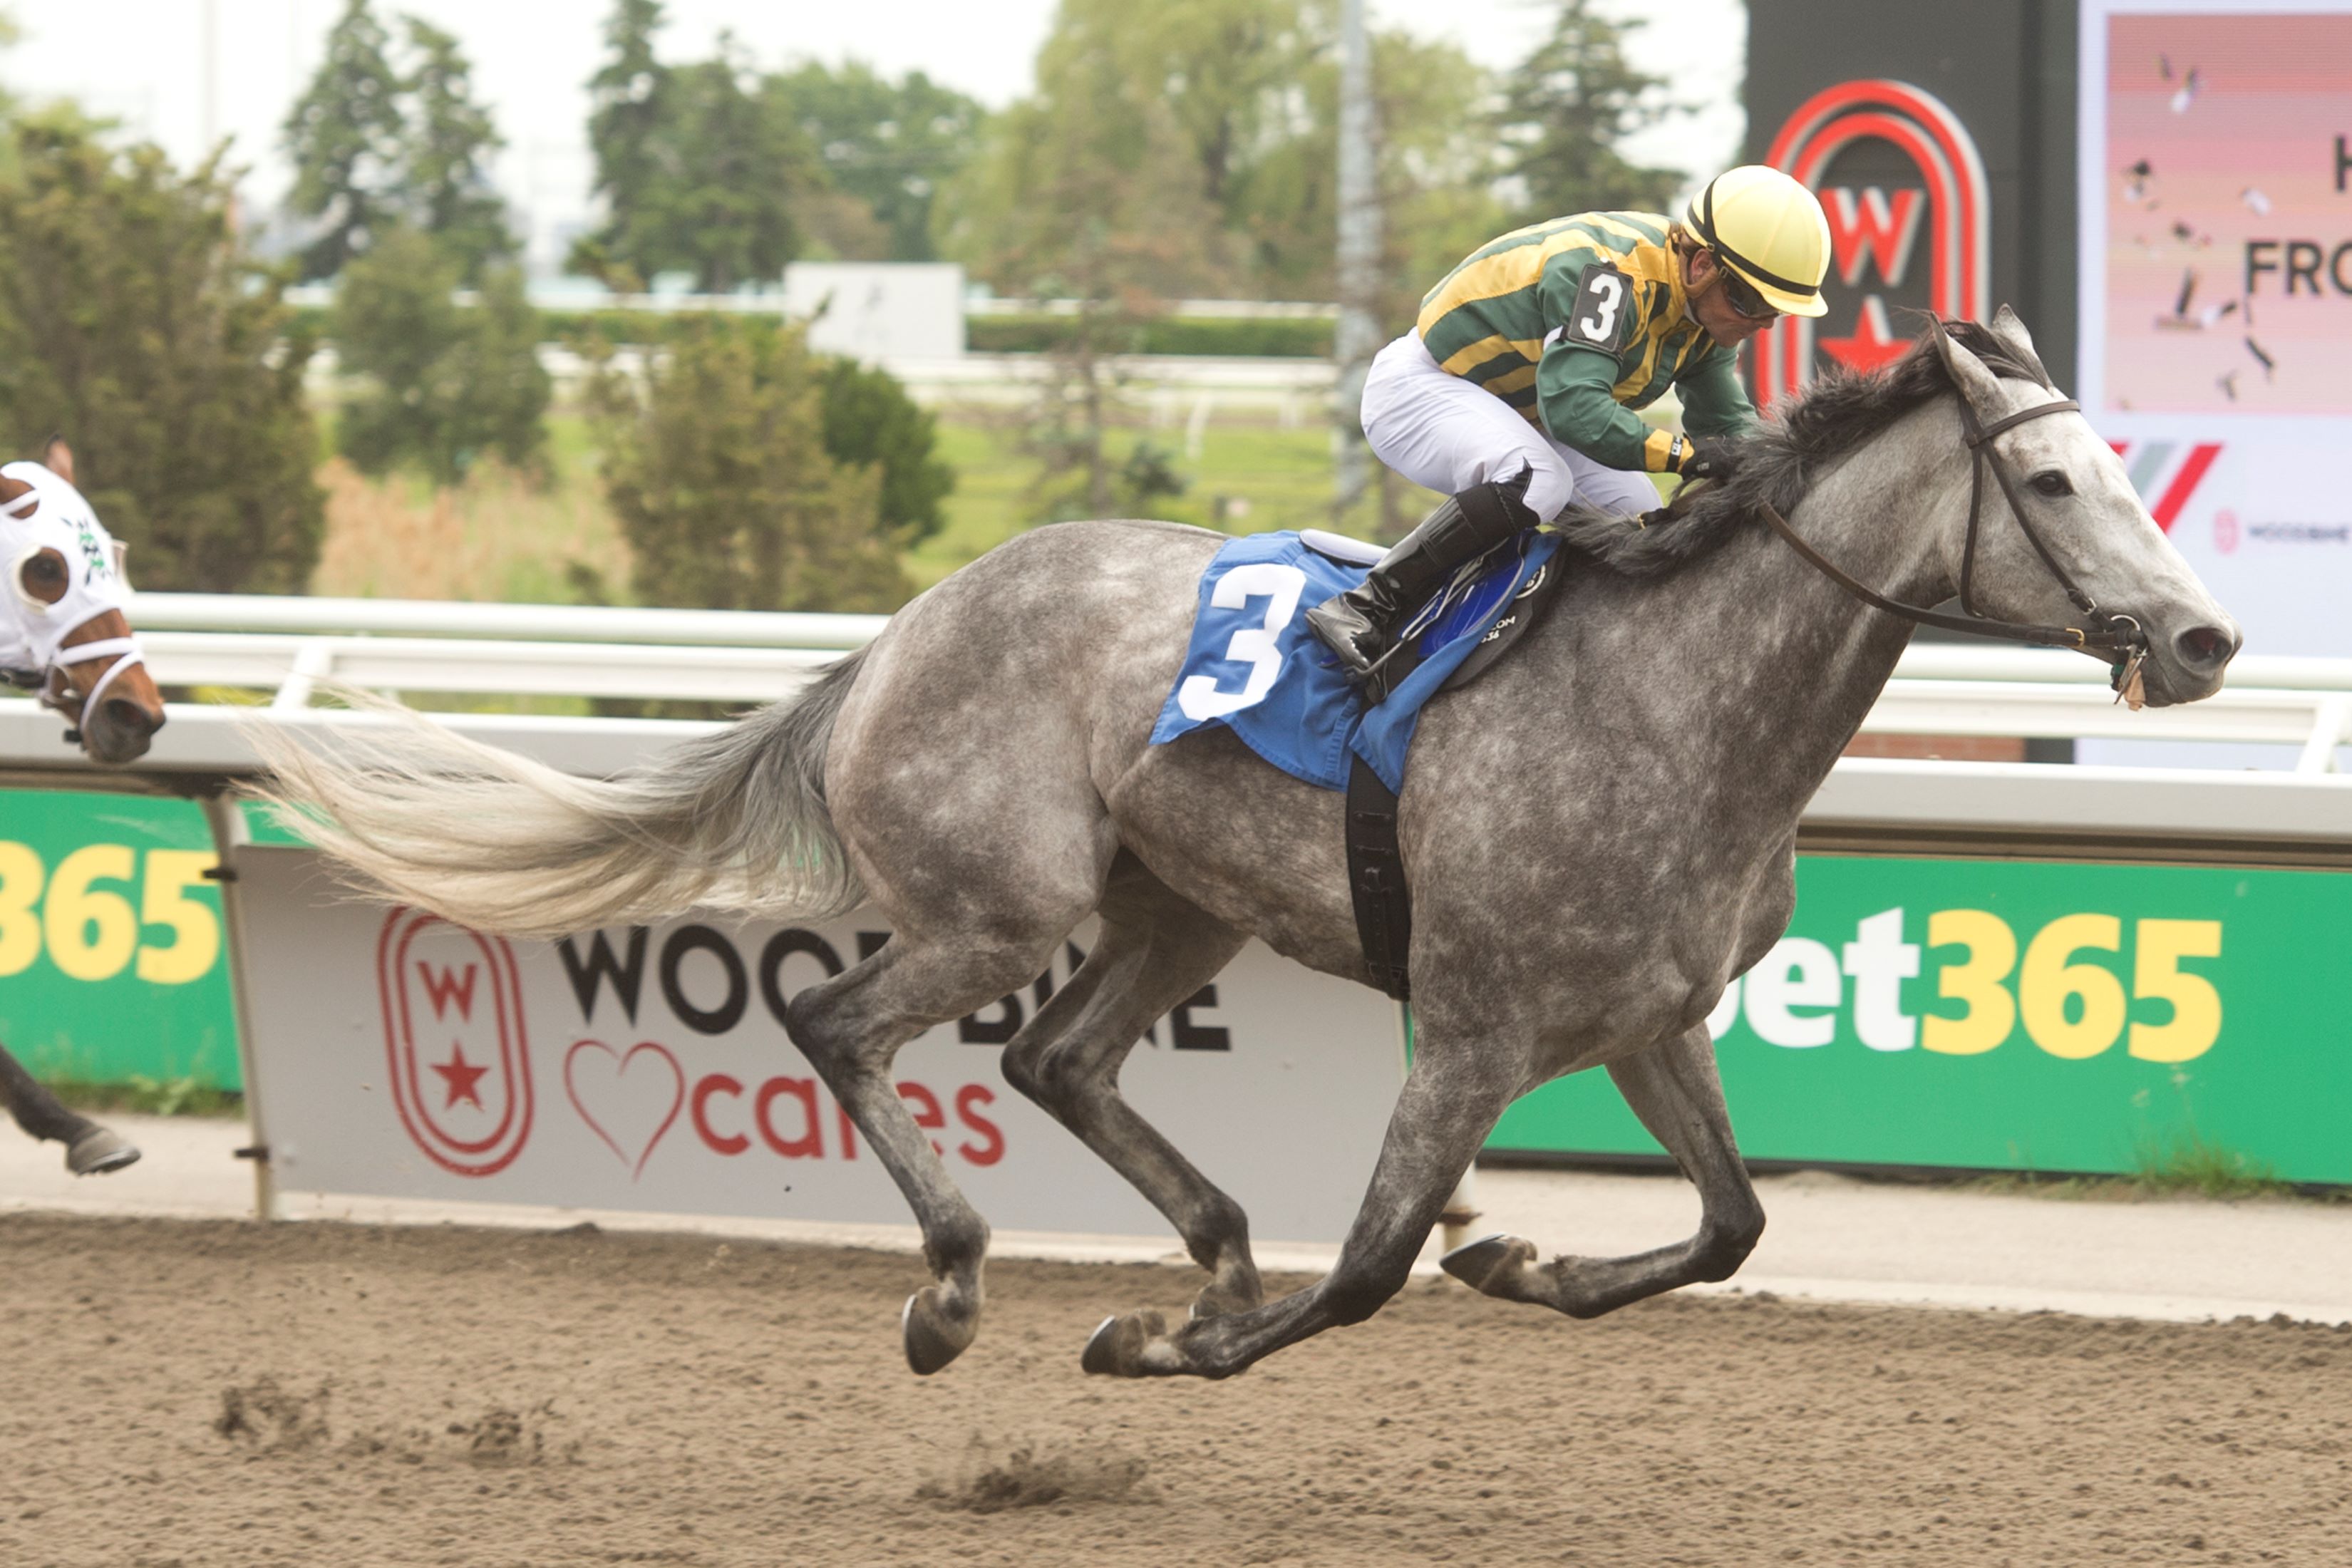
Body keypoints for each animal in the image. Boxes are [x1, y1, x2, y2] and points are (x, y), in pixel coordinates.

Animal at [262, 312, 2239, 1382]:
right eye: (2051, 484)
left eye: (2121, 470)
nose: (2207, 638)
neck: (1678, 703)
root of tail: (901, 629)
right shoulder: (1470, 1027)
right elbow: (1360, 1272)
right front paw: (1171, 1341)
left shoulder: (1646, 1019)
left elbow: (1733, 1225)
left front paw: (1521, 1264)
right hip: (1003, 900)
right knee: (838, 1023)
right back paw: (960, 1286)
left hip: (1176, 909)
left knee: (1058, 1059)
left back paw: (1205, 1244)